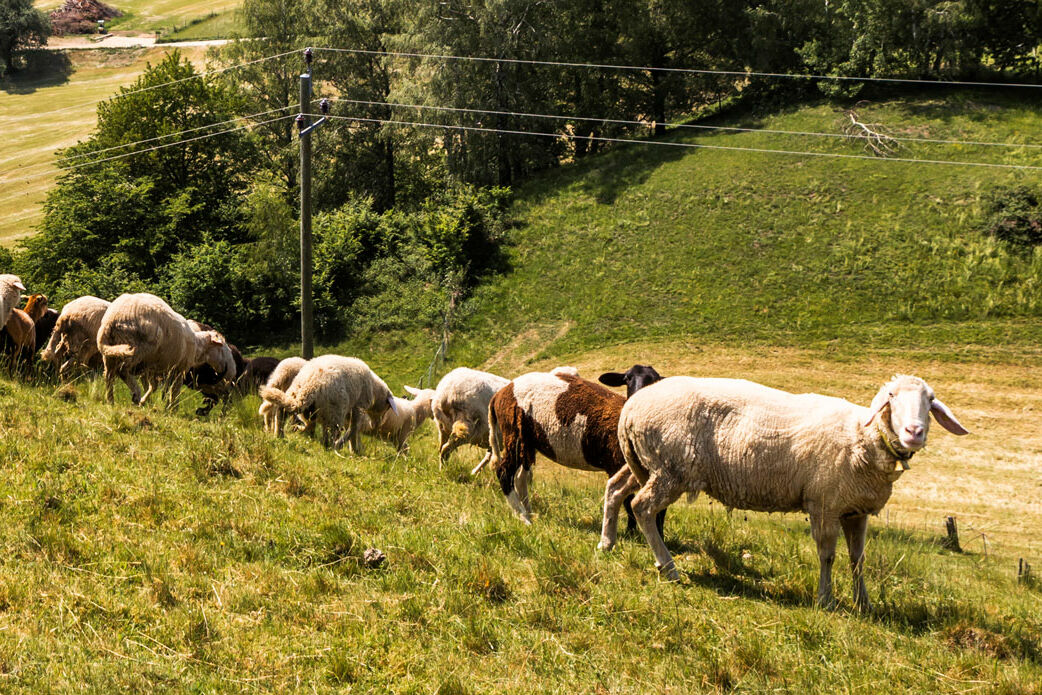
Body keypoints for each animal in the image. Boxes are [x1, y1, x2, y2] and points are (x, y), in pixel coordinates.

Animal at [96, 293, 235, 408]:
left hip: (111, 354)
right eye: (223, 347)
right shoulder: (179, 369)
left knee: (108, 376)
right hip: (138, 349)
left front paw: (146, 402)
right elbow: (175, 390)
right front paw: (172, 408)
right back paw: (136, 393)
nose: (233, 371)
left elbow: (155, 386)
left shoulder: (156, 368)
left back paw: (110, 401)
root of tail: (111, 321)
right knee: (122, 371)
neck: (198, 348)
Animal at [256, 354, 393, 456]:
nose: (377, 424)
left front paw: (354, 449)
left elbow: (352, 431)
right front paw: (347, 446)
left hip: (298, 397)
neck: (374, 388)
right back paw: (332, 447)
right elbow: (353, 428)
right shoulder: (358, 407)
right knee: (330, 433)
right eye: (387, 408)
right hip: (335, 411)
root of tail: (310, 385)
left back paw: (280, 435)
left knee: (282, 412)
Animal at [616, 373, 966, 612]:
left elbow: (858, 558)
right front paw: (825, 600)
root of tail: (631, 408)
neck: (862, 435)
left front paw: (863, 603)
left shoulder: (856, 510)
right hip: (670, 469)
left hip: (648, 466)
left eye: (930, 400)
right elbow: (827, 556)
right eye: (891, 397)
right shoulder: (825, 503)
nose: (914, 432)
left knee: (624, 495)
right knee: (642, 507)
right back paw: (669, 568)